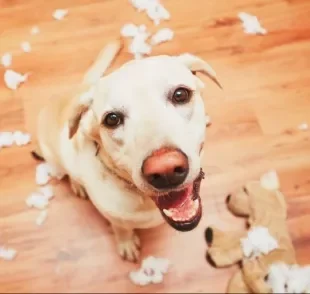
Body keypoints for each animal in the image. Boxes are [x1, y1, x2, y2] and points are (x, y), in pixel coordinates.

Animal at [32, 39, 222, 262]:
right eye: (112, 119)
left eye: (180, 94)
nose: (165, 170)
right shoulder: (115, 219)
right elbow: (121, 229)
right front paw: (127, 243)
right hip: (55, 159)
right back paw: (76, 184)